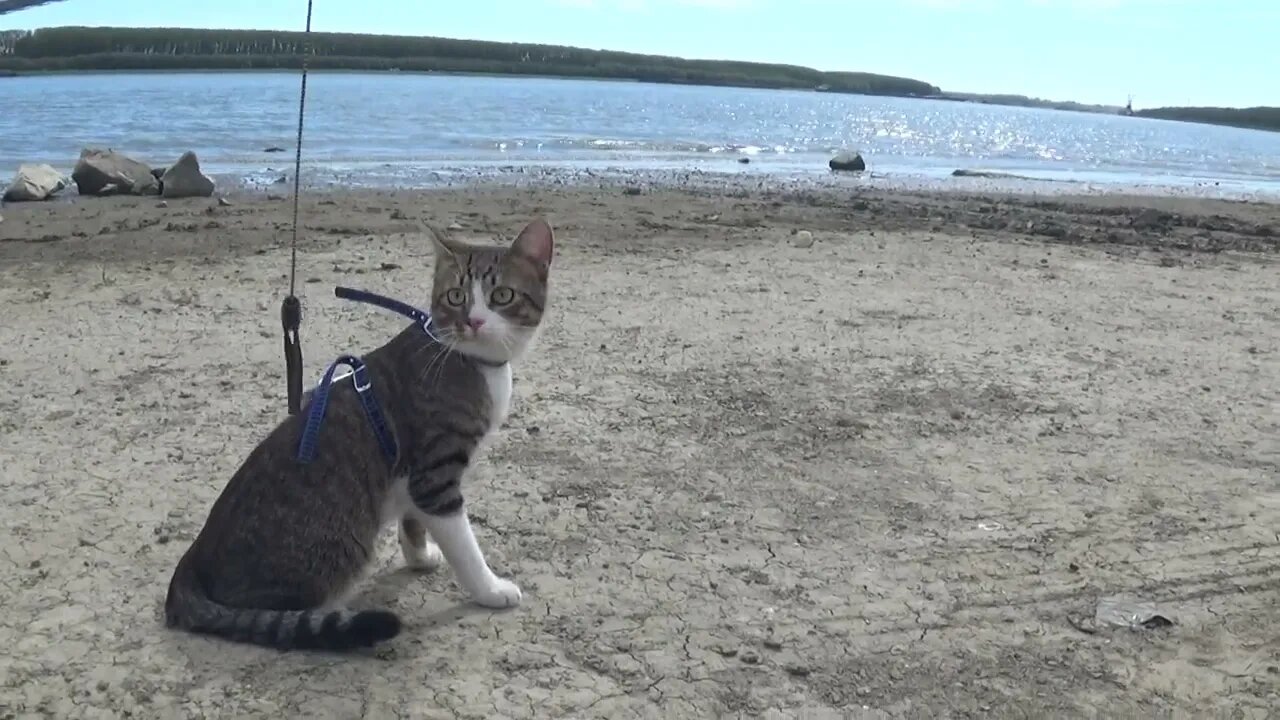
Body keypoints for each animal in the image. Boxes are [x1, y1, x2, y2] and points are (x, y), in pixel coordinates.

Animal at [163, 215, 555, 648]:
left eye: (502, 295)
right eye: (456, 296)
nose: (473, 320)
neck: (472, 362)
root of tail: (192, 560)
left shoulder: (414, 476)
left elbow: (412, 520)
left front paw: (419, 556)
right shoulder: (435, 473)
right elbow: (464, 545)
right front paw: (490, 588)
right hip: (337, 548)